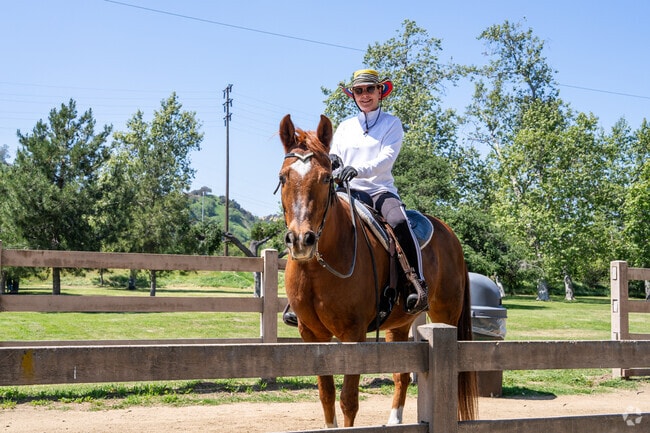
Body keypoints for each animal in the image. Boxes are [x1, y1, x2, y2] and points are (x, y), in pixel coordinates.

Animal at [277, 114, 477, 427]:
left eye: (326, 178)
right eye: (283, 177)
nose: (300, 240)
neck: (319, 269)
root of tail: (449, 233)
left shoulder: (353, 334)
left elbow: (348, 401)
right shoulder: (311, 334)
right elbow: (326, 396)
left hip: (446, 314)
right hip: (400, 323)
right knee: (401, 375)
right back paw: (394, 421)